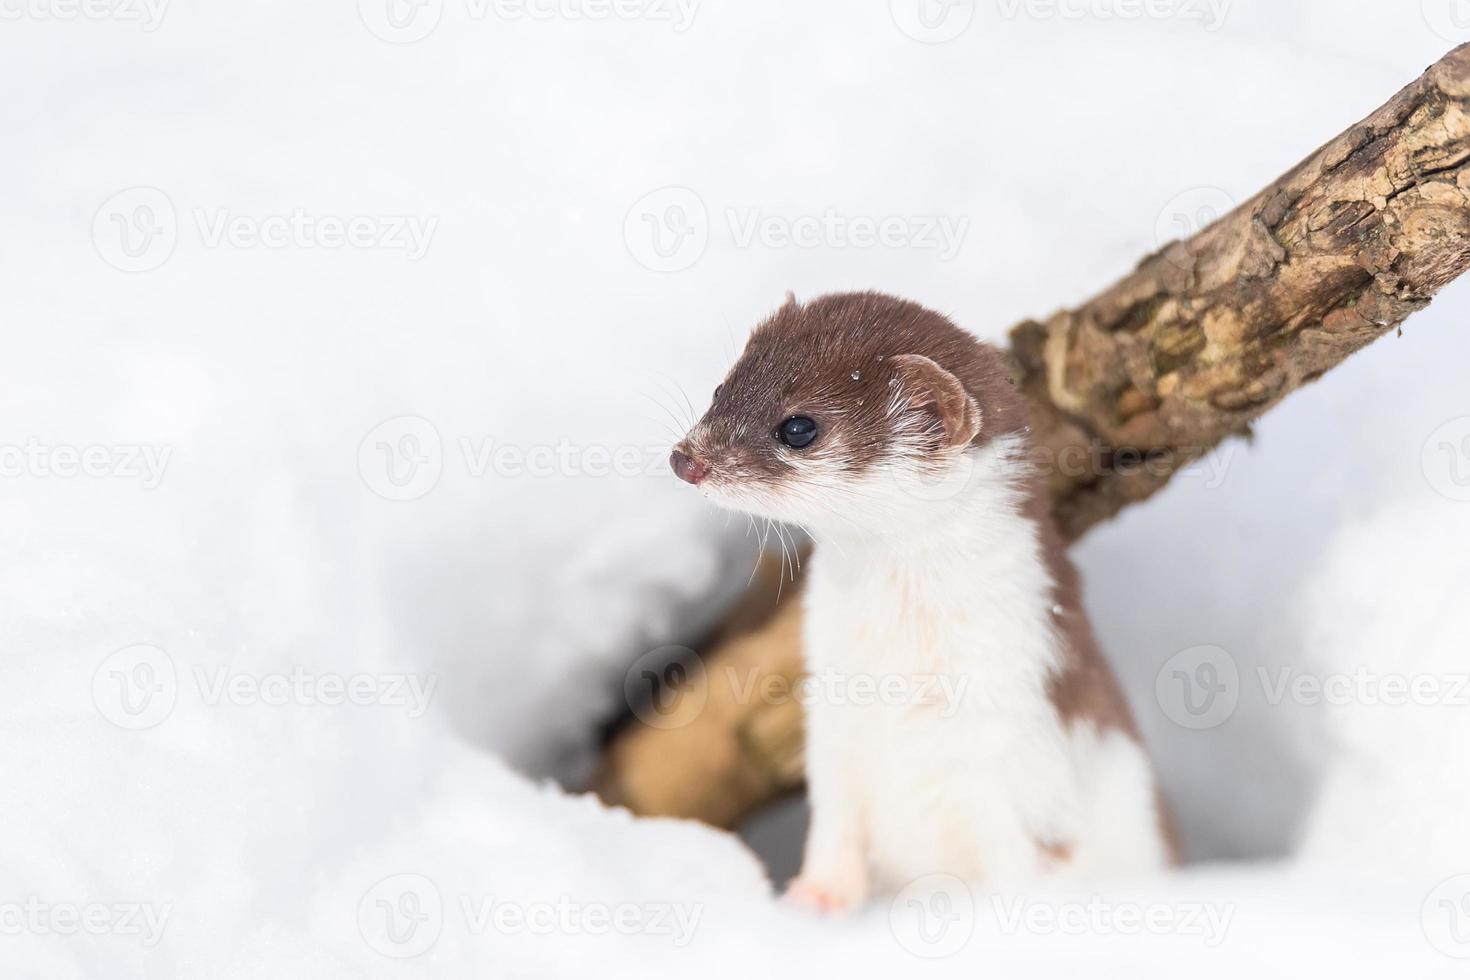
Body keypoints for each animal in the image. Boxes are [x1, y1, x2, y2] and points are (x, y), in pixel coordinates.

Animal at [673, 290, 1176, 910]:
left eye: (798, 426)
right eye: (723, 387)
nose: (684, 459)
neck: (898, 675)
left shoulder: (1023, 754)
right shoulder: (833, 729)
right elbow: (835, 830)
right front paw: (815, 900)